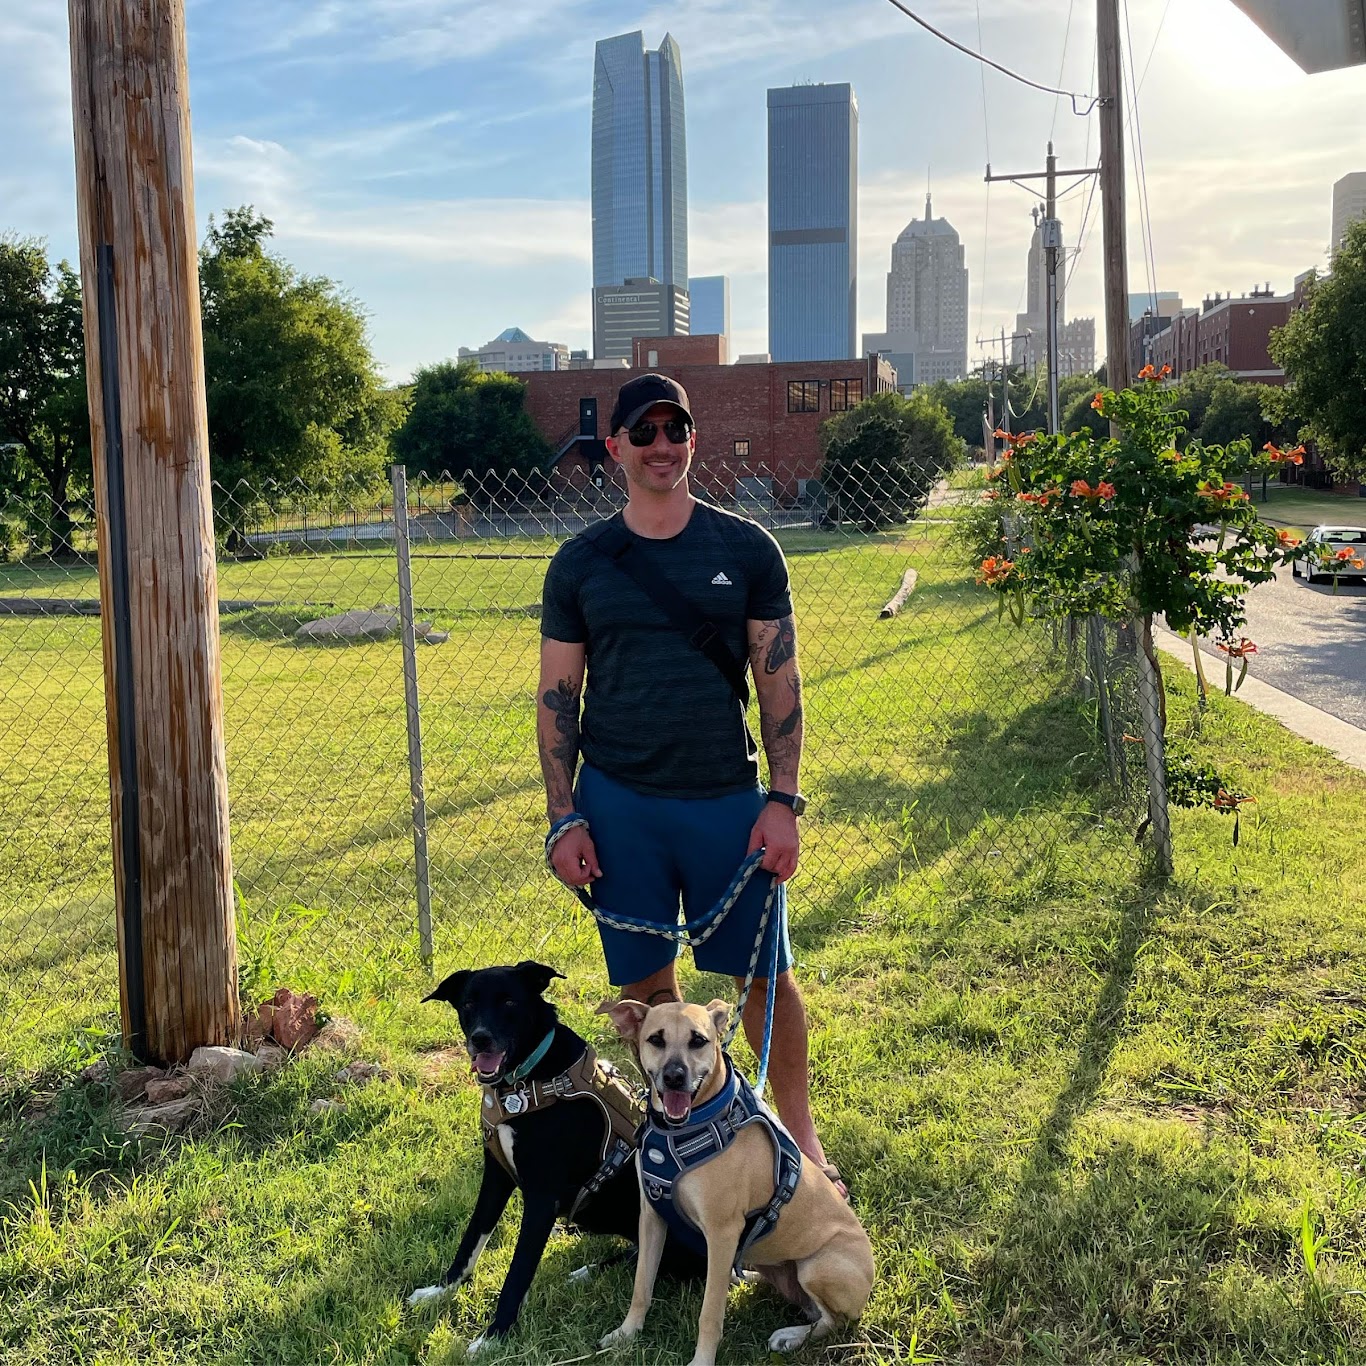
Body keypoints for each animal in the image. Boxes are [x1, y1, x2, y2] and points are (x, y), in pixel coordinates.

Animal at [407, 967, 699, 1349]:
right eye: (468, 1003)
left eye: (510, 1002)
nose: (480, 1039)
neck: (527, 1080)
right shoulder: (496, 1177)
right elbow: (470, 1240)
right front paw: (439, 1292)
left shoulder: (542, 1198)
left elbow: (518, 1272)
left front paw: (493, 1336)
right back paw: (585, 1272)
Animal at [598, 994, 874, 1366]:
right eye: (655, 1039)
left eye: (698, 1041)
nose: (674, 1077)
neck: (684, 1128)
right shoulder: (652, 1217)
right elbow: (642, 1285)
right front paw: (626, 1334)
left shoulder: (722, 1232)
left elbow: (710, 1313)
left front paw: (701, 1361)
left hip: (818, 1267)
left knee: (832, 1322)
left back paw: (790, 1336)